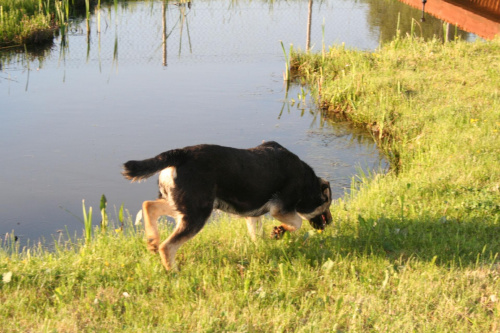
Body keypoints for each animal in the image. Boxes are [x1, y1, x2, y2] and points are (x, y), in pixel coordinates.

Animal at [121, 140, 332, 270]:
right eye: (327, 205)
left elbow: (257, 236)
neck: (307, 182)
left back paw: (152, 240)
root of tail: (180, 154)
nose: (330, 223)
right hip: (197, 213)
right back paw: (173, 272)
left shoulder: (253, 215)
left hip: (183, 206)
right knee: (168, 246)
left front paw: (264, 246)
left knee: (148, 206)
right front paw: (279, 231)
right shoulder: (280, 209)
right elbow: (297, 223)